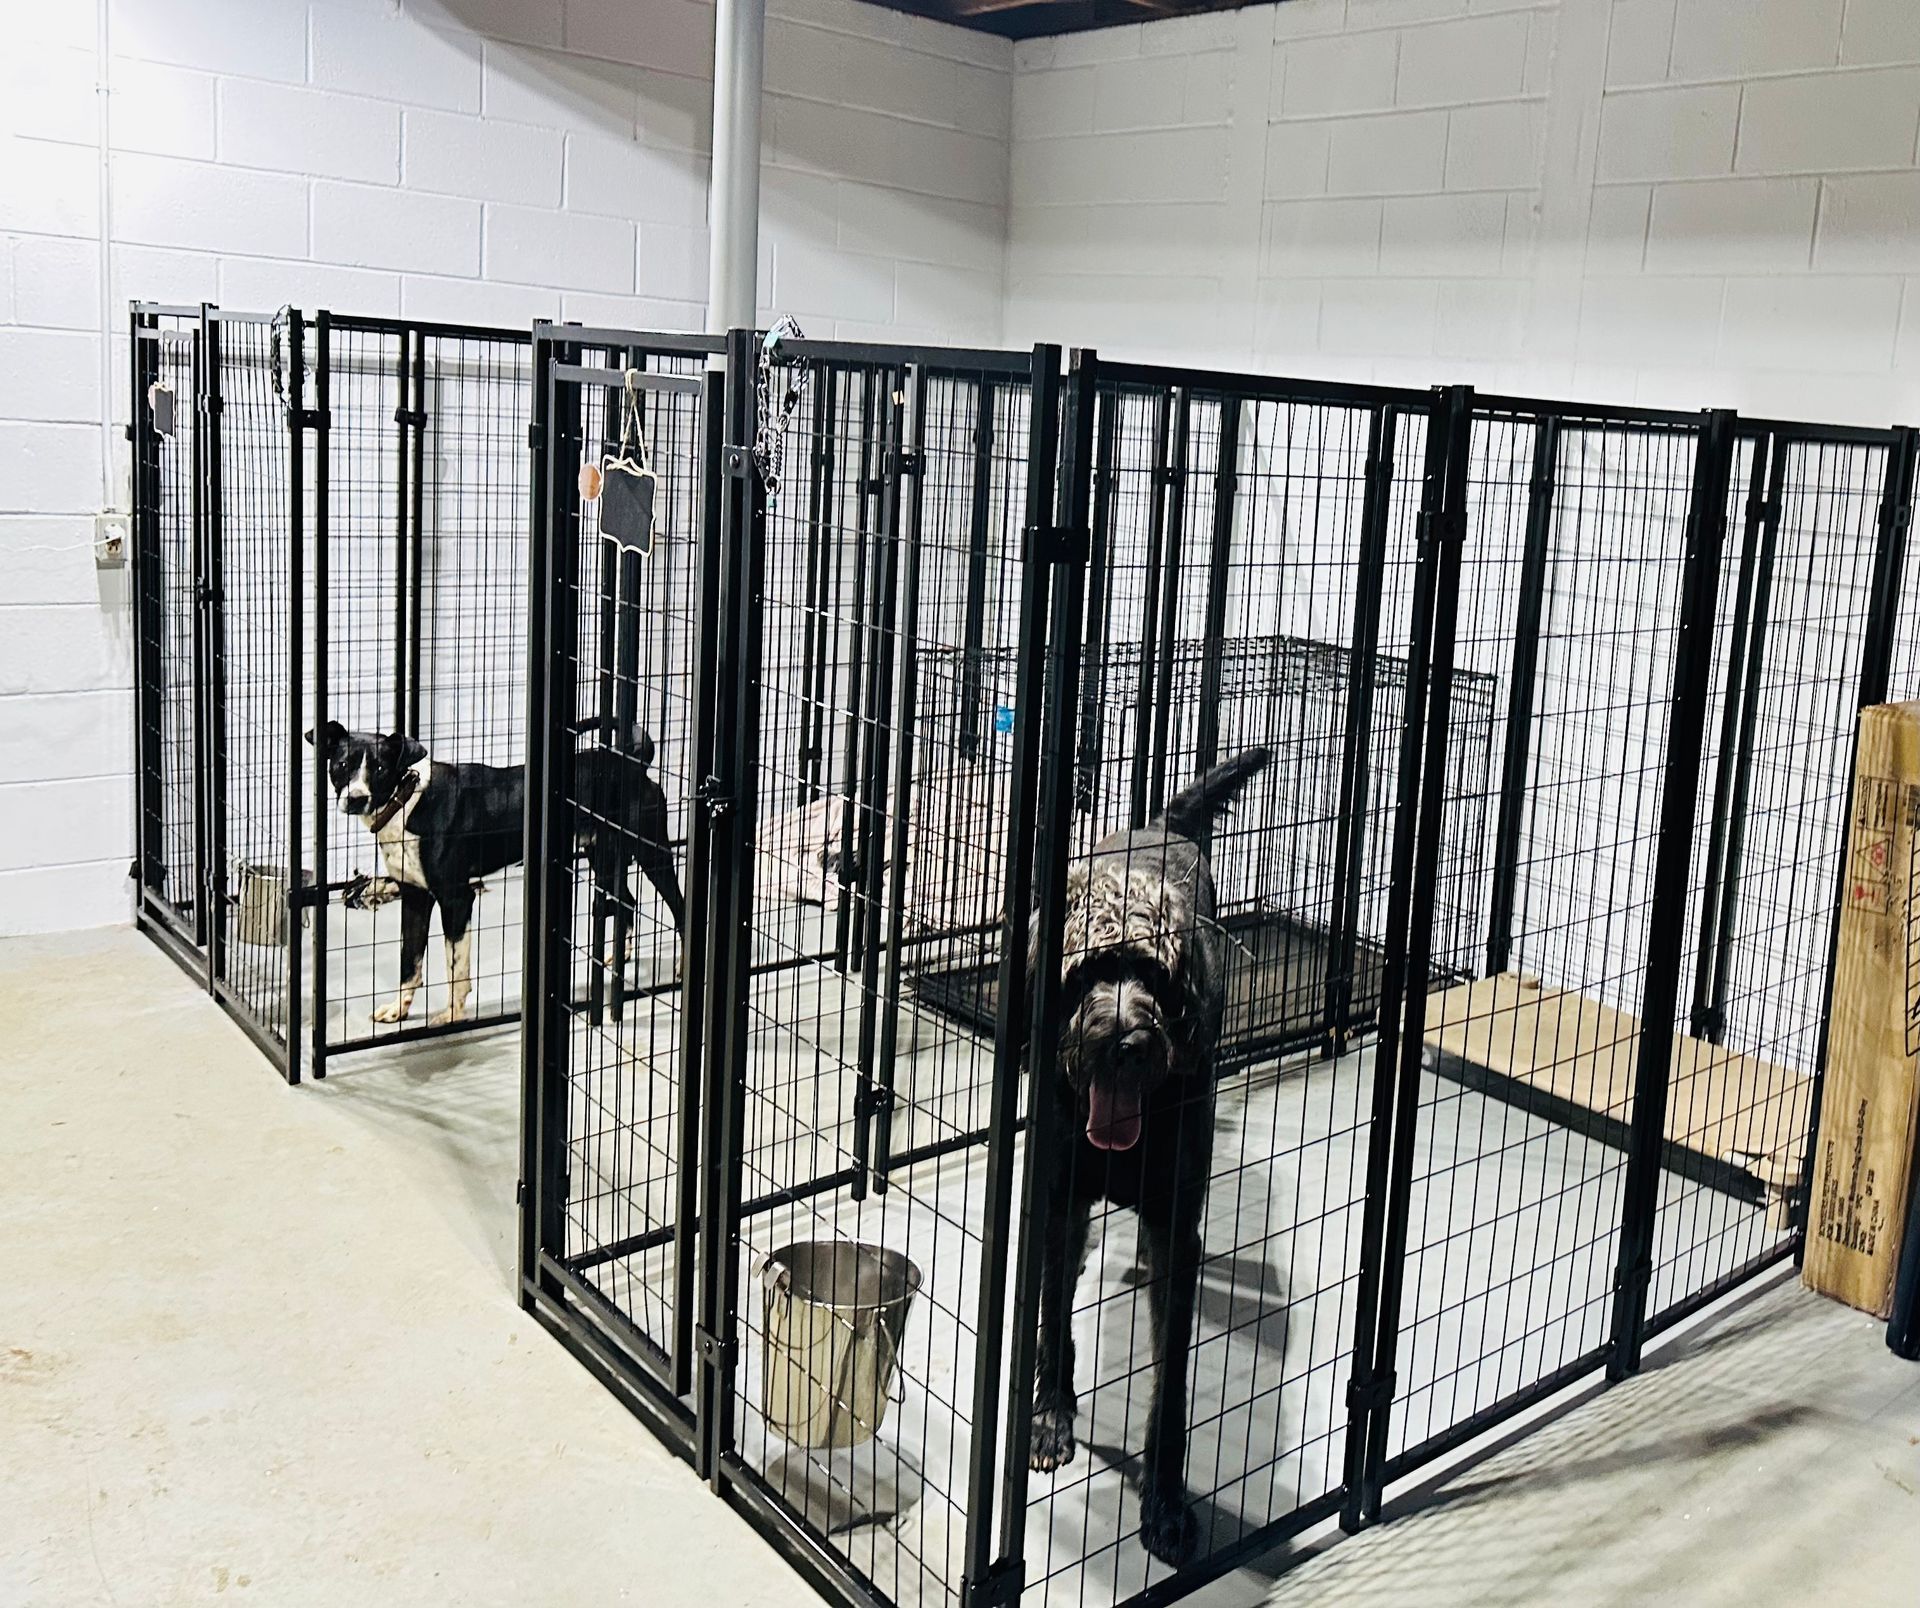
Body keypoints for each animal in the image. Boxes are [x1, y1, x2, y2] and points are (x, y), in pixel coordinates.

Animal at [307, 725, 683, 1028]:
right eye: (342, 765)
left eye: (381, 769)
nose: (356, 799)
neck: (407, 801)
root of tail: (635, 764)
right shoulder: (415, 897)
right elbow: (409, 963)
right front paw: (398, 1009)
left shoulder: (457, 898)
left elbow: (455, 967)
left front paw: (453, 1016)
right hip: (603, 857)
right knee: (627, 902)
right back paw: (619, 956)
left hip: (653, 853)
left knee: (679, 906)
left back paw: (680, 968)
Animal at [1029, 748, 1267, 1565]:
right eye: (1087, 973)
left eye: (1157, 976)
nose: (1126, 1043)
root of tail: (1156, 825)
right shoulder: (1059, 1204)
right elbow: (1052, 1319)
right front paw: (1050, 1413)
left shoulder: (1174, 1230)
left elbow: (1171, 1383)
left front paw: (1165, 1501)